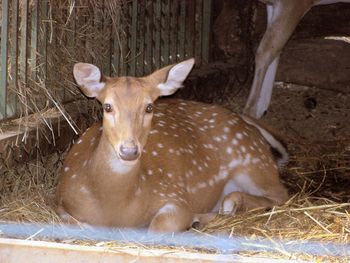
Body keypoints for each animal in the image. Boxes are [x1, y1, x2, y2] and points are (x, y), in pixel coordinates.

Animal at [56, 58, 288, 233]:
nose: (129, 150)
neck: (116, 208)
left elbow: (159, 226)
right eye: (107, 106)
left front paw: (189, 220)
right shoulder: (62, 203)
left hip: (252, 163)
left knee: (280, 194)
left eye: (149, 107)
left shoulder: (175, 195)